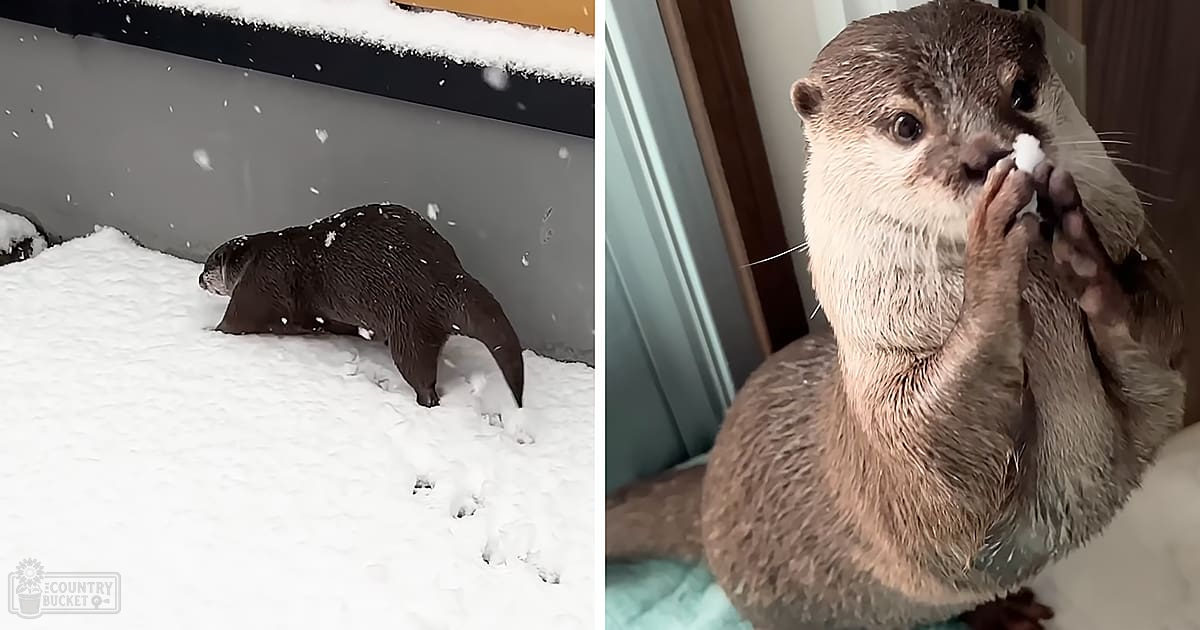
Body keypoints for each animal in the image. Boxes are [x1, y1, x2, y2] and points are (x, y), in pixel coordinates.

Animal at [199, 203, 525, 409]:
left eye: (209, 264)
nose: (200, 279)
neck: (257, 257)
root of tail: (445, 275)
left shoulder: (257, 285)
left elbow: (233, 322)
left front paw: (207, 332)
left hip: (409, 327)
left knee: (420, 375)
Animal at [606, 2, 1185, 629]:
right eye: (906, 125)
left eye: (1023, 89)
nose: (986, 155)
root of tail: (709, 481)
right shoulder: (903, 453)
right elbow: (939, 446)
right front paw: (991, 256)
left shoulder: (1155, 377)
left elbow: (1162, 335)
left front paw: (1085, 253)